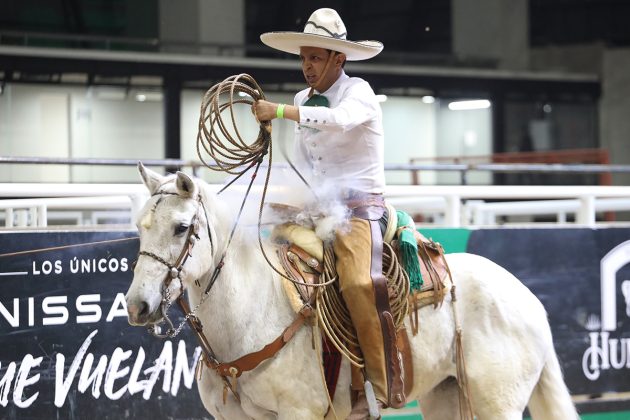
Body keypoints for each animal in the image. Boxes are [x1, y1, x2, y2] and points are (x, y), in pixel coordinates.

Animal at [127, 164, 584, 420]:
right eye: (139, 226)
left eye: (181, 227)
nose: (137, 305)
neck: (252, 313)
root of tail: (528, 297)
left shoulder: (299, 413)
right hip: (445, 394)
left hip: (498, 403)